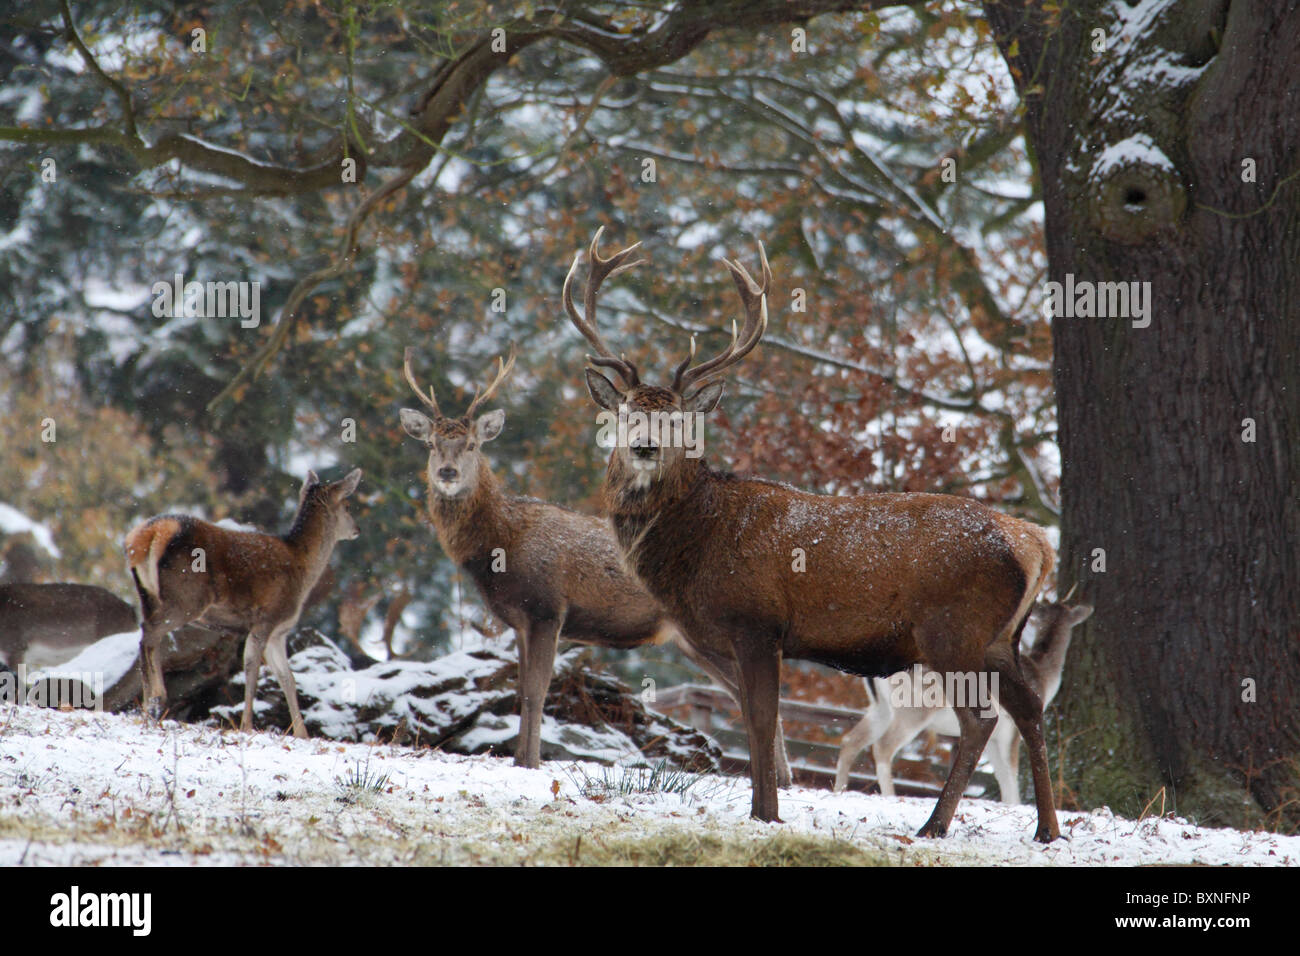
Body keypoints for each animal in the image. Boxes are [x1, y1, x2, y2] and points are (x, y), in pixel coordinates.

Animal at [123, 468, 362, 739]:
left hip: (148, 596)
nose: (357, 529)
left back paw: (150, 705)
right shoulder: (266, 619)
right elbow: (252, 669)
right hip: (187, 598)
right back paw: (154, 699)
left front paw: (302, 733)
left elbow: (287, 677)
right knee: (151, 632)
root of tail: (147, 536)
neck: (303, 569)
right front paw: (247, 725)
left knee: (149, 634)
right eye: (348, 506)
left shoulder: (279, 633)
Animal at [399, 346, 792, 779]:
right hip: (695, 640)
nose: (447, 472)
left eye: (471, 445)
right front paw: (520, 759)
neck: (502, 543)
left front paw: (531, 762)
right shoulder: (518, 621)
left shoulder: (547, 608)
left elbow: (536, 692)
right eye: (431, 444)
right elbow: (520, 690)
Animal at [563, 228, 1061, 841]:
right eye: (627, 411)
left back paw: (934, 825)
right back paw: (1046, 829)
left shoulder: (756, 620)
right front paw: (763, 808)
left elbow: (761, 719)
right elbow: (756, 720)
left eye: (678, 418)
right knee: (1030, 707)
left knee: (980, 718)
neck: (698, 541)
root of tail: (1034, 544)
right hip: (1000, 639)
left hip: (954, 630)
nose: (645, 447)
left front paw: (766, 813)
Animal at [833, 593, 1093, 801]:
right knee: (882, 747)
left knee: (850, 741)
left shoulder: (996, 737)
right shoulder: (1011, 731)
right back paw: (890, 796)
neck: (1044, 680)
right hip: (914, 708)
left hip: (881, 707)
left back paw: (839, 792)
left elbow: (1002, 778)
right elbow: (1011, 781)